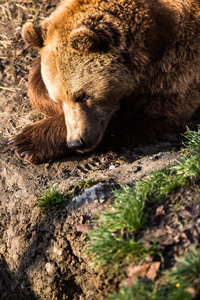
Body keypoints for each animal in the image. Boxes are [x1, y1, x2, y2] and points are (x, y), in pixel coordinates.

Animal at [9, 0, 200, 164]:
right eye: (59, 99)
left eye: (82, 96)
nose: (76, 142)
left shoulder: (178, 61)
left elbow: (150, 113)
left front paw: (25, 142)